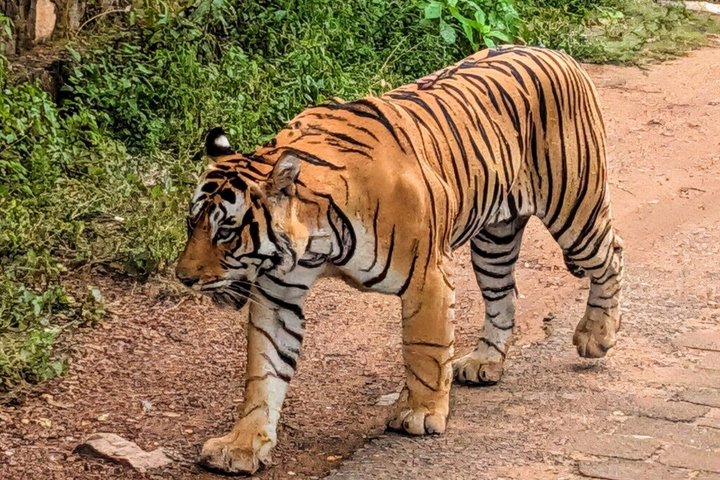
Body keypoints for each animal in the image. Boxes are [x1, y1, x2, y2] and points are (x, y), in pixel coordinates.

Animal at [175, 45, 624, 474]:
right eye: (190, 224)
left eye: (226, 231)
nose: (184, 278)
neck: (316, 238)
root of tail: (557, 53)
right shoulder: (278, 293)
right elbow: (264, 370)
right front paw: (242, 445)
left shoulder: (428, 276)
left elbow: (423, 348)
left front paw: (419, 414)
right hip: (494, 241)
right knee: (504, 296)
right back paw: (485, 362)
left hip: (574, 209)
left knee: (612, 255)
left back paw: (596, 335)